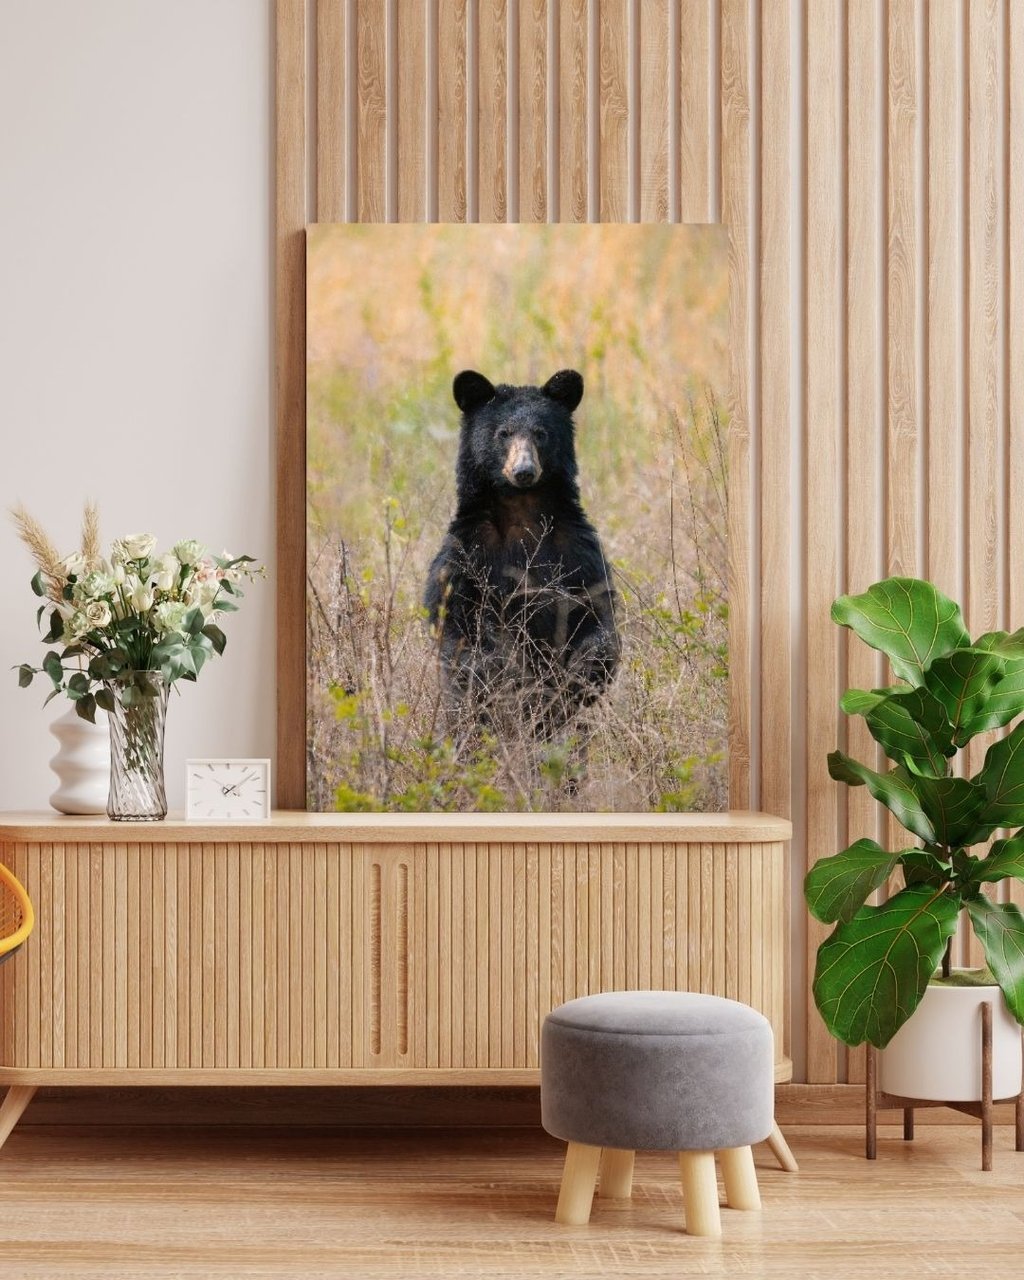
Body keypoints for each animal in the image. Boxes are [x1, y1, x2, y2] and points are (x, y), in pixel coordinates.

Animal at [424, 368, 620, 738]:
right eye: (503, 433)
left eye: (541, 433)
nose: (524, 471)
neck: (522, 509)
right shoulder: (468, 553)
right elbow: (456, 621)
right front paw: (495, 676)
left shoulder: (575, 548)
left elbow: (596, 613)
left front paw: (582, 676)